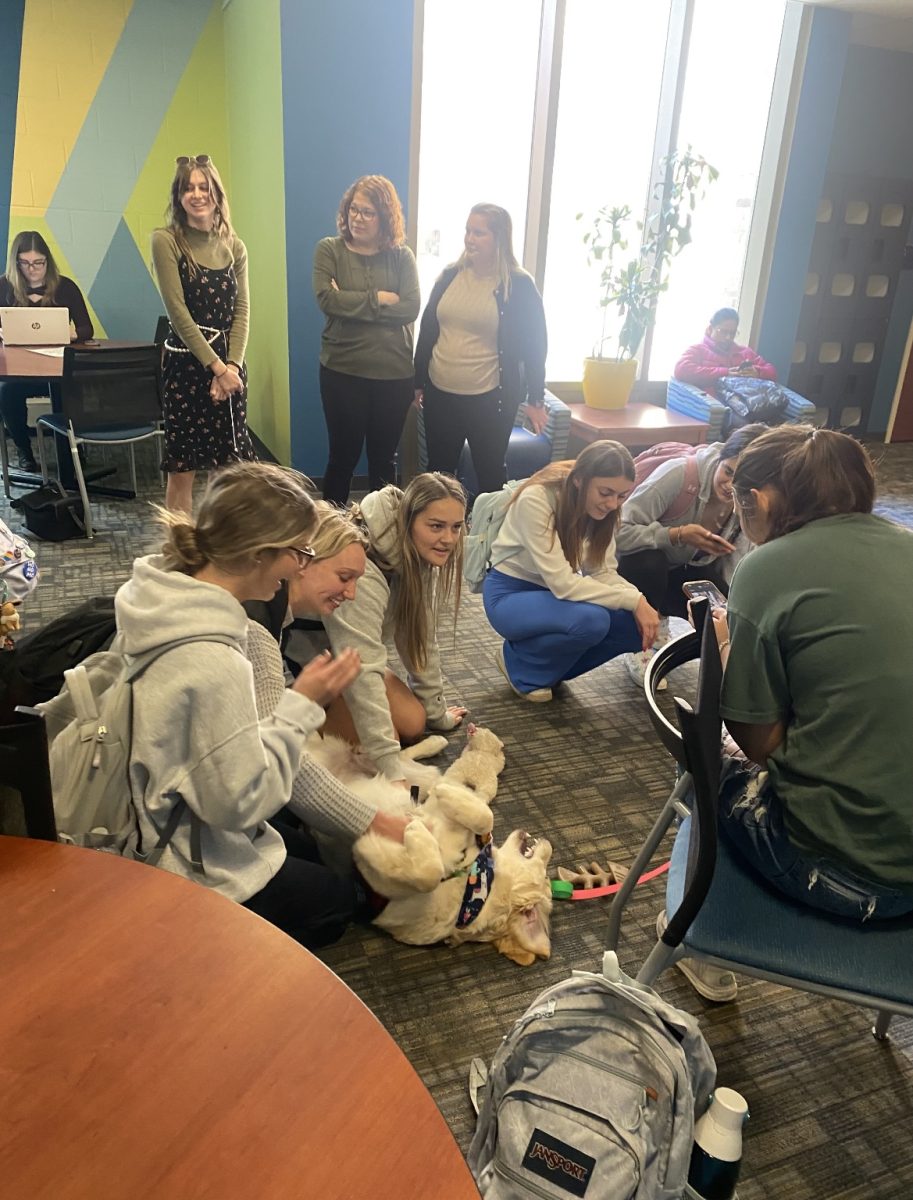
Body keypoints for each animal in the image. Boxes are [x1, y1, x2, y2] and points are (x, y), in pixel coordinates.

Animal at [305, 720, 551, 964]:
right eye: (546, 869)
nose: (549, 844)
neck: (473, 881)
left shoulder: (381, 887)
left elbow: (428, 874)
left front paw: (414, 830)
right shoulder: (438, 810)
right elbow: (485, 816)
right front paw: (448, 794)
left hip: (419, 777)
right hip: (414, 778)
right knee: (397, 756)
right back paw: (434, 745)